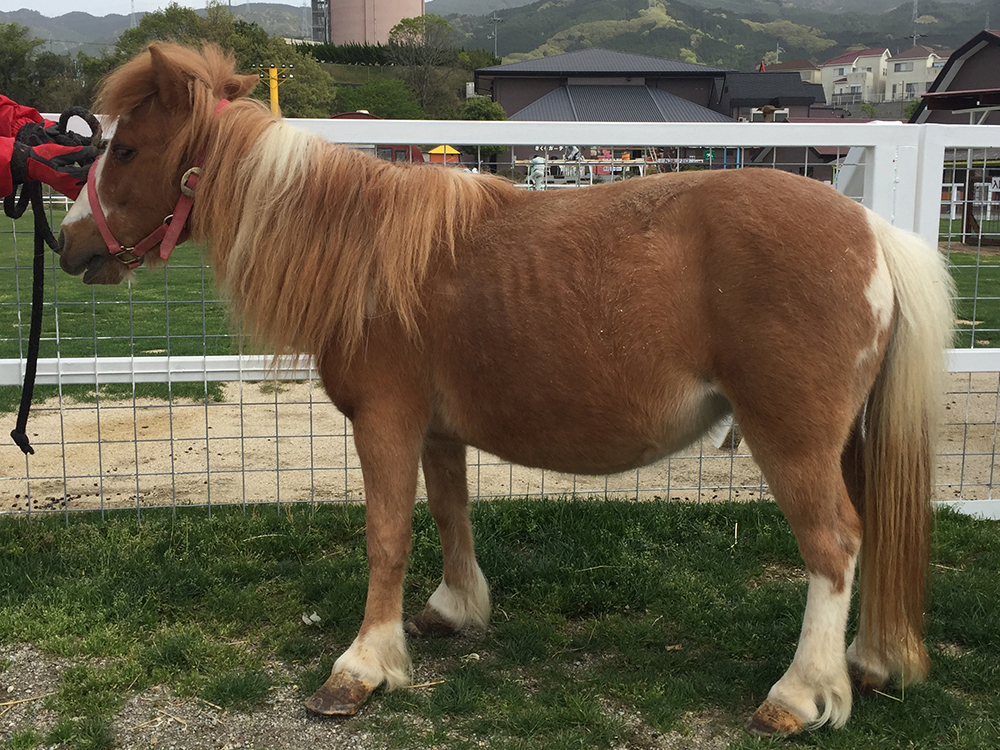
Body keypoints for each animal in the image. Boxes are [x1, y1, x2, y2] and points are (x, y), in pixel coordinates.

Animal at [52, 44, 952, 736]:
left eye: (125, 151)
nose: (67, 246)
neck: (365, 251)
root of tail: (871, 231)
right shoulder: (437, 430)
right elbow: (451, 515)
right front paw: (453, 610)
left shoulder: (384, 422)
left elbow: (386, 536)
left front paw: (361, 667)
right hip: (847, 440)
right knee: (869, 532)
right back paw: (868, 663)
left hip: (791, 438)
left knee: (833, 545)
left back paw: (798, 695)